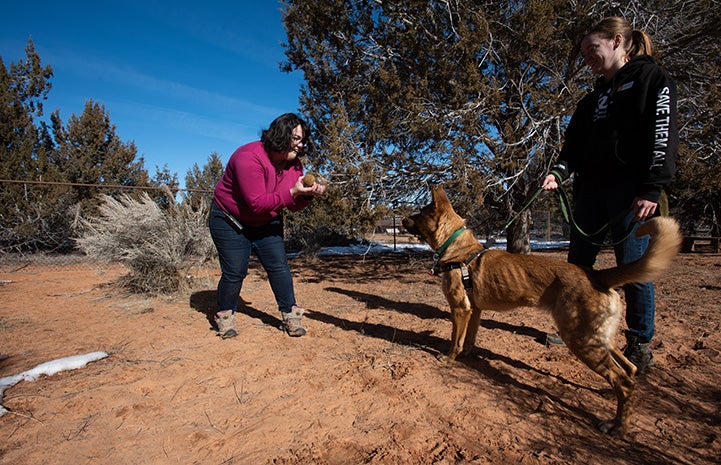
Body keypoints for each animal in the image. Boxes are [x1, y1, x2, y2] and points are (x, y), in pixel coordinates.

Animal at [404, 184, 680, 436]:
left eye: (419, 213)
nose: (403, 218)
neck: (458, 250)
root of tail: (597, 275)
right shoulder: (475, 311)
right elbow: (469, 340)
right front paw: (466, 357)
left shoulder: (460, 309)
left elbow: (455, 340)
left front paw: (449, 359)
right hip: (599, 338)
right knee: (628, 371)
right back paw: (611, 398)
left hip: (580, 339)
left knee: (622, 380)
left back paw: (618, 427)